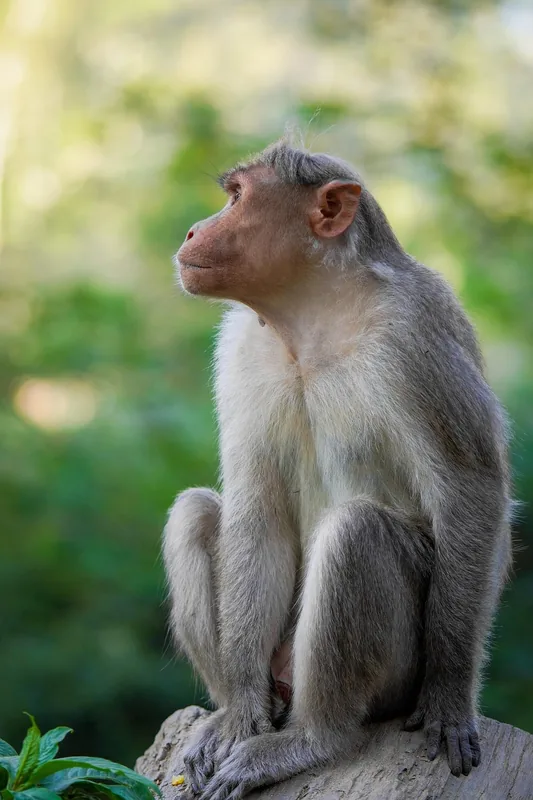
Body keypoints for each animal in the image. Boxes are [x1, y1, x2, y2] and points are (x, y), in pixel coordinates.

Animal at [163, 137, 512, 800]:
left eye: (237, 198)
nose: (194, 228)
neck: (312, 315)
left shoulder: (414, 334)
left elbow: (471, 491)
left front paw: (450, 697)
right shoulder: (240, 344)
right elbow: (257, 501)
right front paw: (242, 715)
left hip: (397, 676)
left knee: (358, 533)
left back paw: (315, 738)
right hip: (279, 662)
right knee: (194, 511)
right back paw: (237, 713)